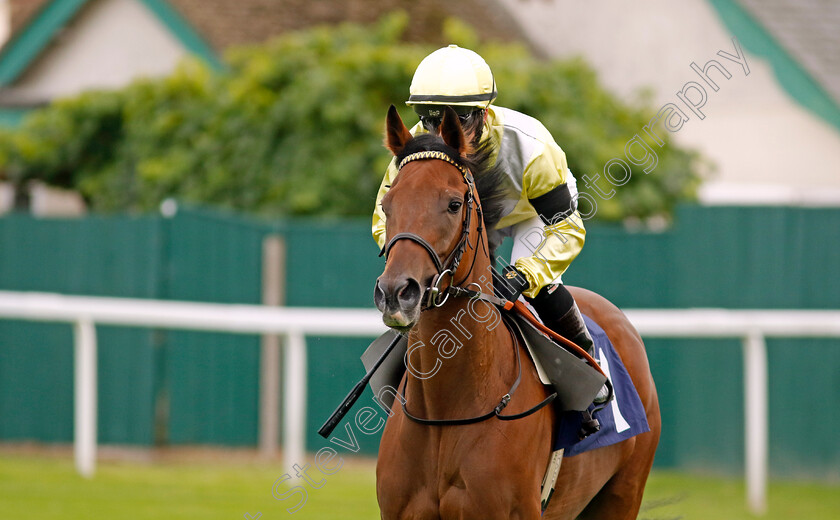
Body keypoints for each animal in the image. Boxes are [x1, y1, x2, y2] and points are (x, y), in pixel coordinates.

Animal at [376, 106, 664, 520]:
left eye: (453, 203)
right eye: (388, 205)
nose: (396, 293)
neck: (446, 410)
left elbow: (564, 224)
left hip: (623, 494)